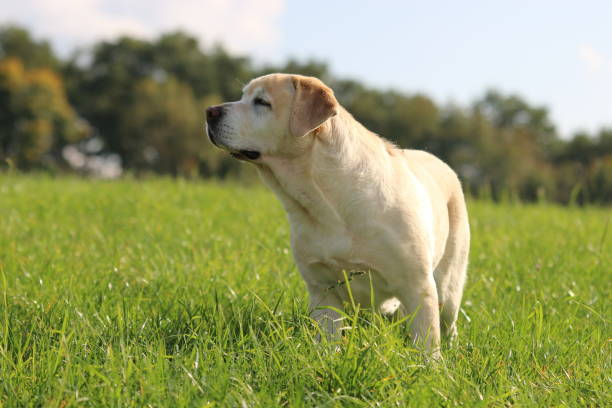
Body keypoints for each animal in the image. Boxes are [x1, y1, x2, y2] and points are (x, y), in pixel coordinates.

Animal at [206, 73, 468, 356]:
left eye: (262, 102)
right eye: (243, 96)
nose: (210, 112)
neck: (325, 202)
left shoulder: (417, 286)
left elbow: (427, 345)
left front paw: (428, 365)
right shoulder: (323, 289)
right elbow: (328, 340)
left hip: (448, 286)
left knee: (449, 323)